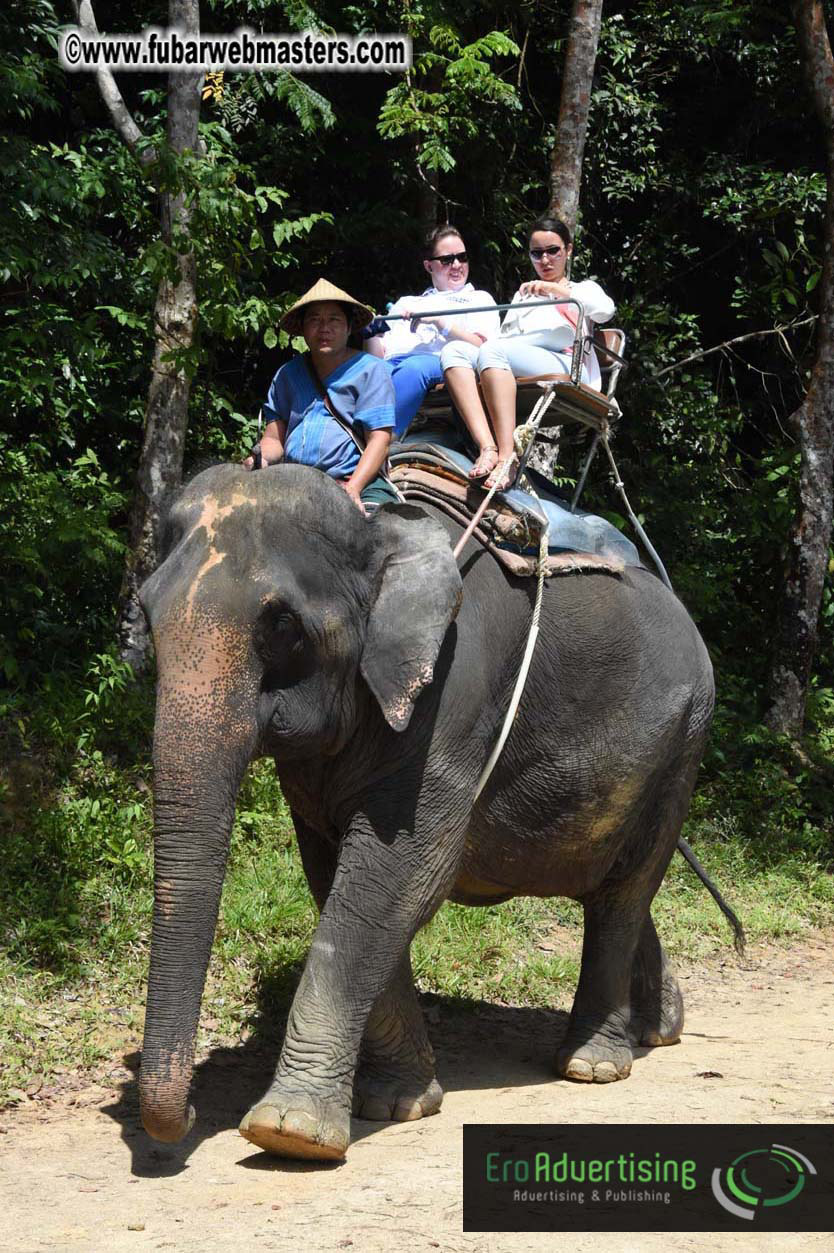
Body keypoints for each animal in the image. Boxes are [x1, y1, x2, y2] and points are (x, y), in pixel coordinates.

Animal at [137, 461, 715, 1161]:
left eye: (282, 625)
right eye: (145, 613)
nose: (192, 1115)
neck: (378, 530)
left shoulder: (452, 694)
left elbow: (399, 872)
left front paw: (291, 1132)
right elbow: (334, 875)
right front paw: (397, 1104)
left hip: (683, 741)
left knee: (625, 891)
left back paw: (594, 1065)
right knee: (618, 886)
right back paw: (660, 1031)